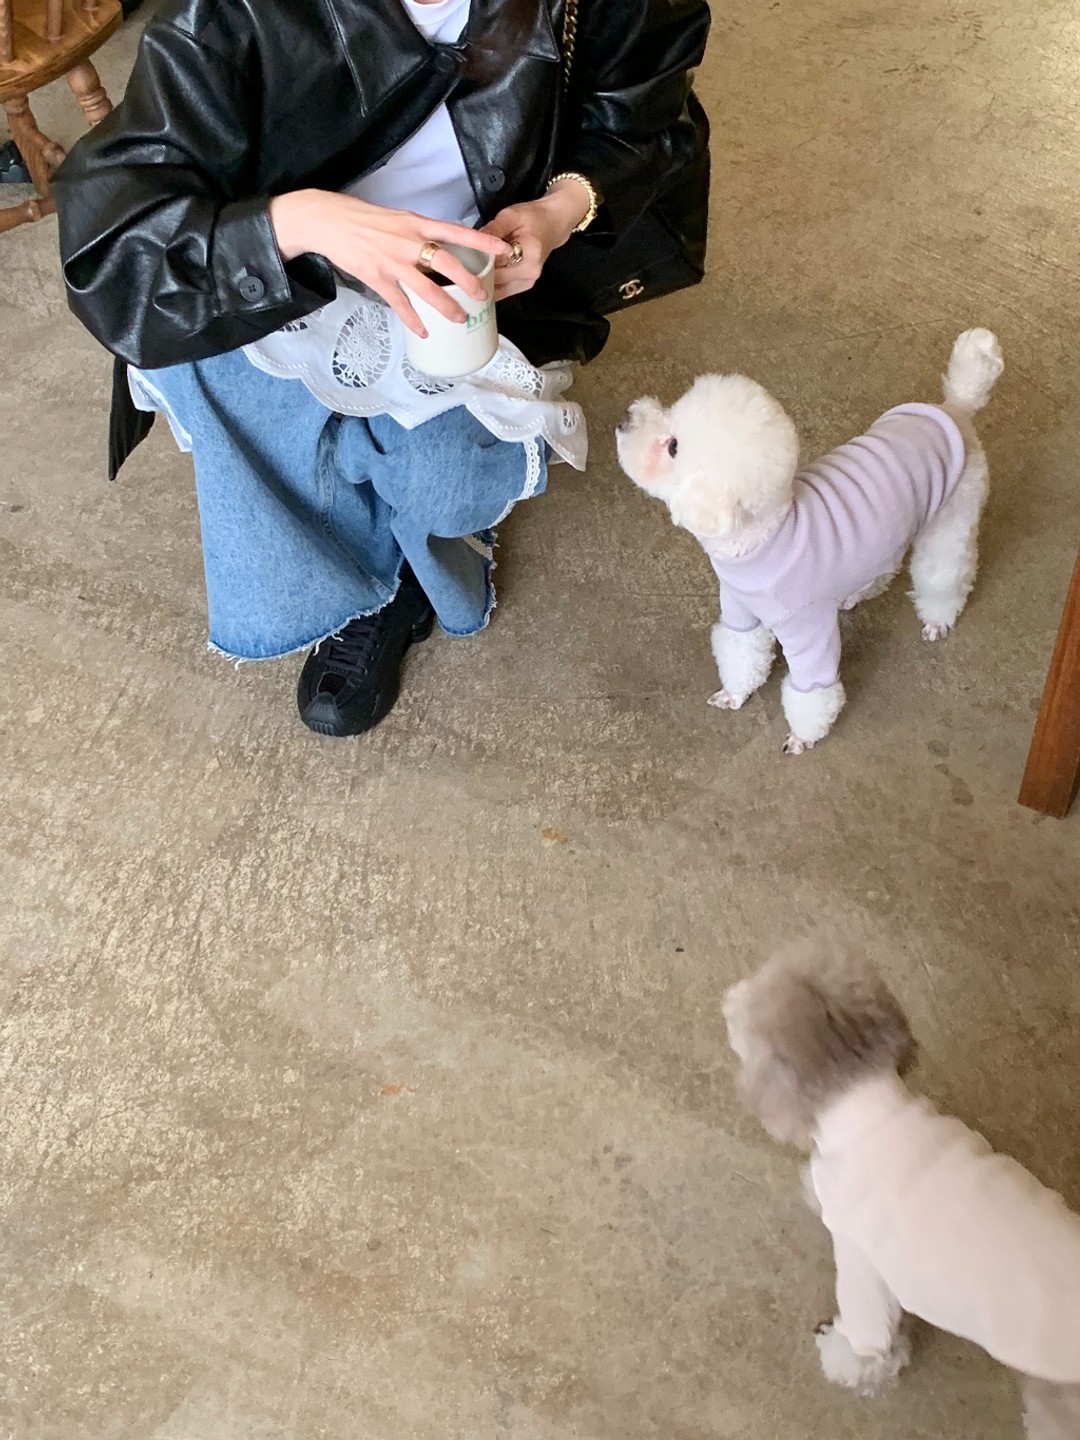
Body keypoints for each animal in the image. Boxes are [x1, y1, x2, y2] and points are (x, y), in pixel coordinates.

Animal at [616, 330, 1003, 752]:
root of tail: (955, 408)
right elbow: (740, 650)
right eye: (671, 411)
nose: (624, 419)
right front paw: (736, 693)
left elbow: (813, 692)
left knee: (944, 572)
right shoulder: (740, 610)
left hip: (951, 519)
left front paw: (802, 736)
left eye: (673, 447)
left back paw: (937, 618)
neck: (765, 536)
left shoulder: (809, 630)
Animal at [723, 942, 1080, 1436]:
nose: (729, 993)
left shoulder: (859, 1260)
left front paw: (843, 1357)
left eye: (748, 1004)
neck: (868, 1109)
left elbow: (868, 1341)